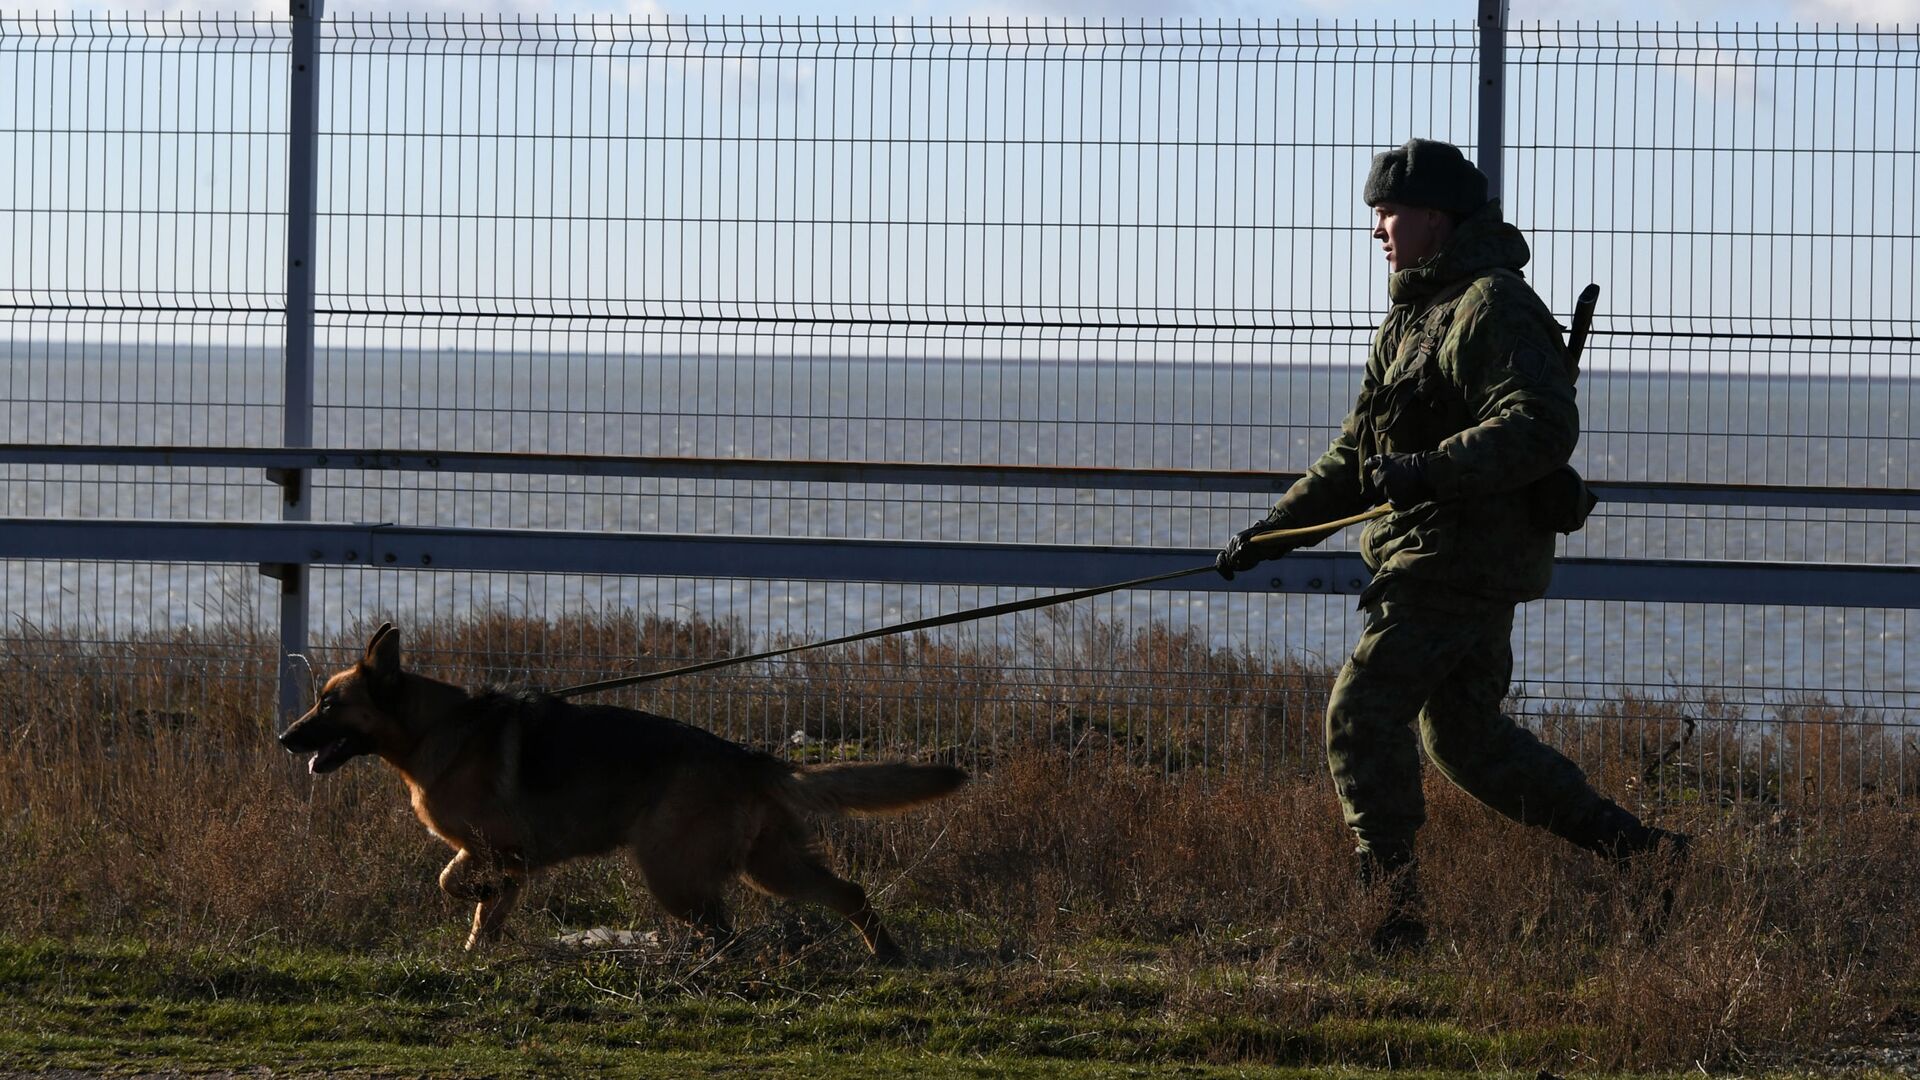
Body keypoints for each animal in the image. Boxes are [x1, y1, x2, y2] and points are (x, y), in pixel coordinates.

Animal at [278, 622, 967, 957]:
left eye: (329, 704)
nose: (286, 738)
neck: (433, 728)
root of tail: (749, 759)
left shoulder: (501, 850)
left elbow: (455, 882)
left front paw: (473, 903)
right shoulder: (505, 858)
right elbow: (485, 912)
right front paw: (477, 951)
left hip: (670, 870)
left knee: (729, 931)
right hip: (767, 865)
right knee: (843, 894)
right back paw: (884, 954)